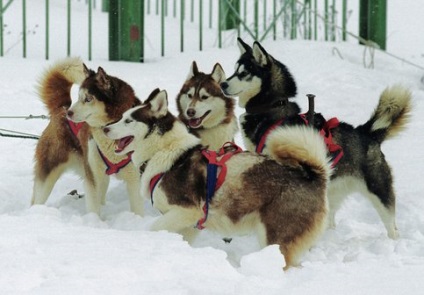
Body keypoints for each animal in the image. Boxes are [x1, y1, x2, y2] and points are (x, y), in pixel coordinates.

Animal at [31, 57, 143, 215]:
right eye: (78, 97)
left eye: (88, 98)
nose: (69, 114)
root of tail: (62, 108)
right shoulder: (93, 178)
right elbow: (93, 208)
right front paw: (94, 221)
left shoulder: (134, 178)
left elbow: (137, 208)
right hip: (49, 172)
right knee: (36, 199)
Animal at [102, 88, 332, 270]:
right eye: (121, 116)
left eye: (129, 120)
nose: (105, 128)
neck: (165, 151)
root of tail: (314, 175)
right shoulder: (188, 223)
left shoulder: (187, 211)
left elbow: (153, 227)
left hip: (276, 238)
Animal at [222, 38, 410, 239]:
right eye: (234, 70)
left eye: (243, 73)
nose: (223, 84)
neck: (271, 109)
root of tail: (367, 132)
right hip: (333, 190)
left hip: (379, 193)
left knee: (392, 226)